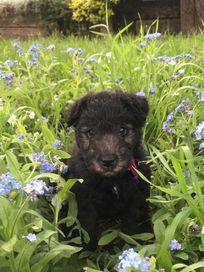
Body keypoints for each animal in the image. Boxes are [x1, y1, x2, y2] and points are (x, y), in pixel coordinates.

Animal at [63, 91, 151, 246]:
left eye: (122, 130)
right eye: (91, 132)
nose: (108, 161)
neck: (112, 180)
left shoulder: (137, 198)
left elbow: (132, 224)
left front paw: (130, 244)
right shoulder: (84, 200)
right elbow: (88, 226)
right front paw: (88, 248)